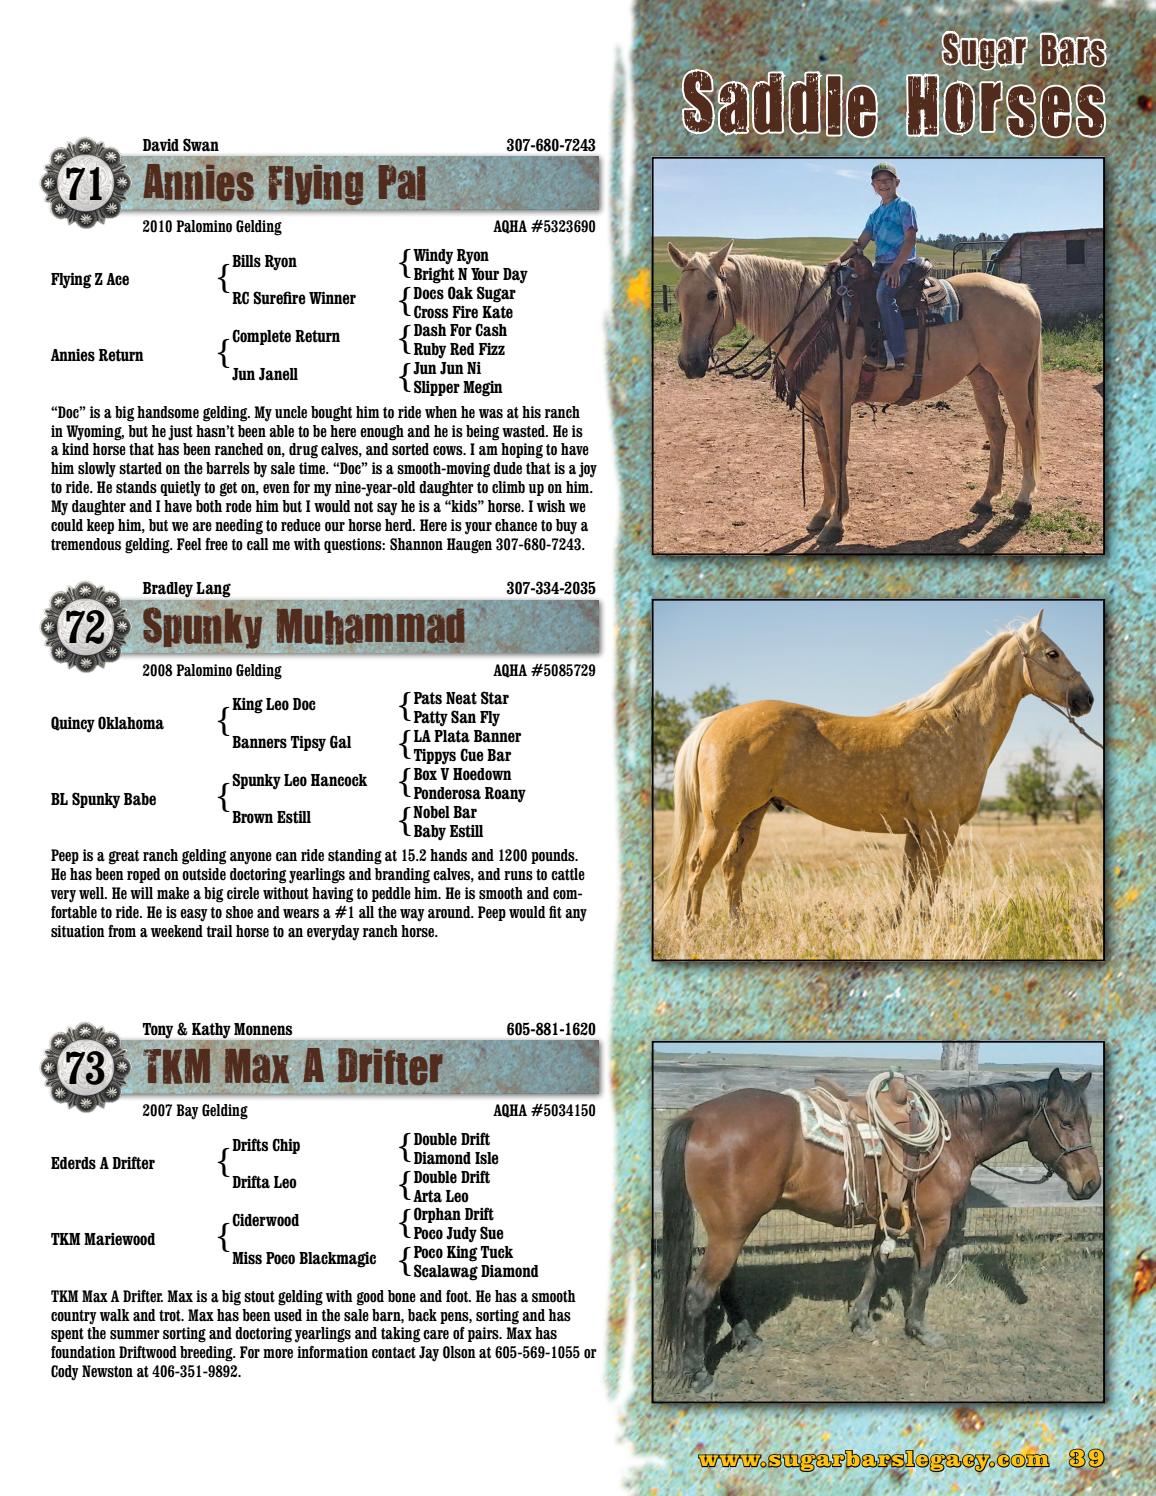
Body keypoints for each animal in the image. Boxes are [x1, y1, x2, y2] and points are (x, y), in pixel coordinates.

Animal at [657, 1069, 1100, 1393]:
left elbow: (875, 1267)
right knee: (697, 1295)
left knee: (725, 1285)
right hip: (731, 1231)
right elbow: (922, 1277)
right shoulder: (932, 1222)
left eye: (1087, 1120)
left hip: (733, 1229)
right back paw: (698, 1374)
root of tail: (696, 1116)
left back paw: (747, 1340)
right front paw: (920, 1330)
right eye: (1066, 1122)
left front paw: (861, 1320)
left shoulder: (887, 1215)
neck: (952, 1137)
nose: (1091, 1184)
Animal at [659, 610, 1094, 925]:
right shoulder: (941, 827)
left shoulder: (917, 831)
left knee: (733, 868)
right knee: (700, 868)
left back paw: (738, 925)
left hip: (752, 816)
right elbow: (931, 883)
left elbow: (910, 882)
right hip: (721, 820)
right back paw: (692, 928)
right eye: (1052, 653)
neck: (955, 725)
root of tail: (716, 719)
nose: (1086, 699)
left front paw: (900, 923)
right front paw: (925, 925)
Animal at [666, 241, 1044, 547]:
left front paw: (835, 523)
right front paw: (821, 513)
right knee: (997, 429)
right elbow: (822, 458)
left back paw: (1023, 500)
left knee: (1024, 428)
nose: (689, 363)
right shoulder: (813, 405)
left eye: (712, 294)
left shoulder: (837, 403)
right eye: (679, 294)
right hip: (982, 377)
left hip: (1011, 379)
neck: (810, 316)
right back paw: (986, 498)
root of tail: (1022, 291)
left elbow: (838, 456)